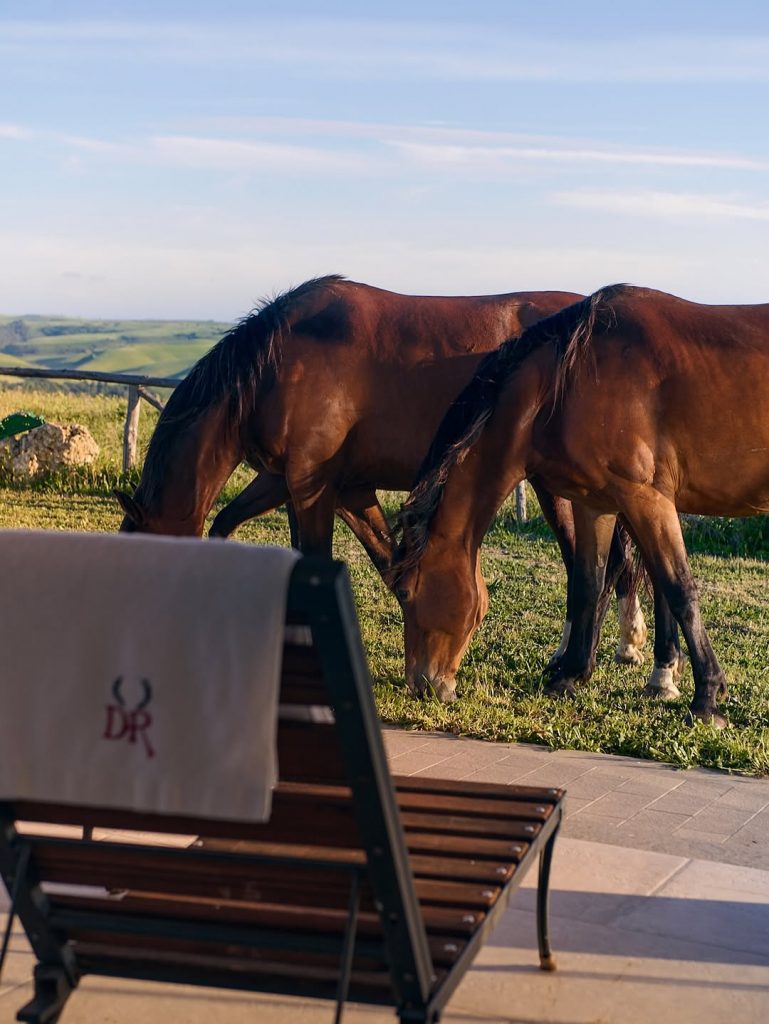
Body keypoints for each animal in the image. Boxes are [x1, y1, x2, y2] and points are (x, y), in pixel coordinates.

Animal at [114, 275, 646, 663]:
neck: (276, 365)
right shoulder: (318, 485)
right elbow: (381, 561)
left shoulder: (310, 485)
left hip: (556, 488)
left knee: (590, 565)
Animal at [394, 284, 769, 727]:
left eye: (404, 591)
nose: (421, 683)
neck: (569, 380)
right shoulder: (596, 503)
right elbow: (588, 582)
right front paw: (569, 676)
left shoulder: (646, 499)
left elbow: (680, 590)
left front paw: (707, 698)